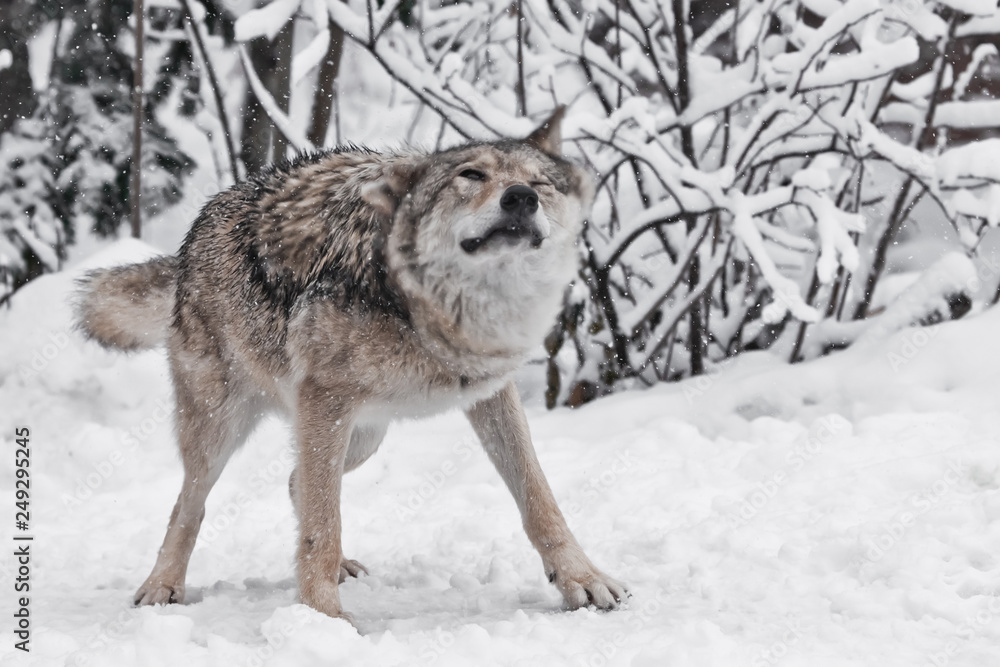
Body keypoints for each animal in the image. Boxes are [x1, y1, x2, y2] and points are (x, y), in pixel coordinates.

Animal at [75, 108, 627, 622]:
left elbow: (540, 498)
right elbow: (322, 527)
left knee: (298, 482)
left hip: (363, 435)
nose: (520, 197)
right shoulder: (326, 398)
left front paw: (583, 580)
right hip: (223, 427)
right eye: (470, 175)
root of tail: (195, 232)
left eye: (540, 184)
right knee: (191, 505)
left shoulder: (491, 394)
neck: (445, 311)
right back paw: (162, 586)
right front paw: (323, 620)